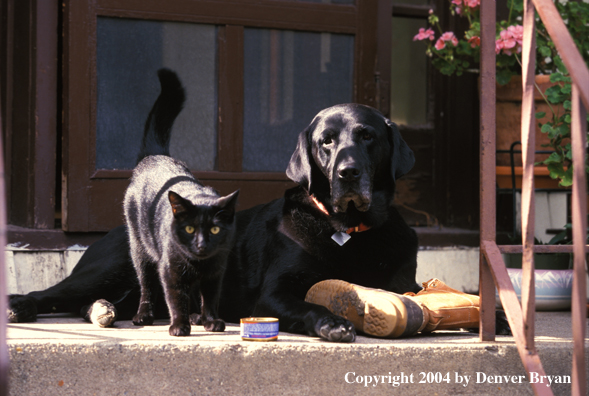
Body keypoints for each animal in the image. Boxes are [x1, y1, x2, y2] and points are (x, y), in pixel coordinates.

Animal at [125, 70, 238, 334]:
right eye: (189, 229)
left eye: (215, 229)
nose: (201, 244)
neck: (199, 263)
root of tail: (156, 155)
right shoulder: (171, 270)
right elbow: (175, 298)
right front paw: (179, 326)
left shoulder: (216, 271)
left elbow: (210, 297)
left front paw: (211, 321)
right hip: (139, 247)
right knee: (146, 284)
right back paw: (143, 315)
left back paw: (198, 317)